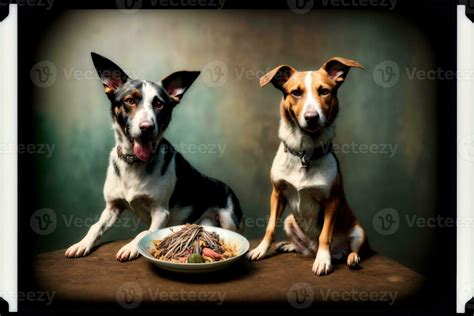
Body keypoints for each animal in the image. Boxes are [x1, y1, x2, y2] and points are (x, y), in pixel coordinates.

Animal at [65, 53, 243, 262]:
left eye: (159, 104)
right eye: (130, 101)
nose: (146, 127)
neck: (133, 162)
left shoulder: (160, 212)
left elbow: (145, 232)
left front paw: (131, 246)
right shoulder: (112, 207)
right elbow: (95, 227)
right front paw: (82, 244)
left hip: (229, 218)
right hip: (206, 221)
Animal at [250, 58, 368, 276]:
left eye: (324, 91)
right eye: (296, 92)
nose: (312, 117)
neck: (304, 153)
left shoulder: (332, 201)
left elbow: (325, 235)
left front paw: (323, 260)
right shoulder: (277, 194)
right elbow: (270, 227)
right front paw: (261, 249)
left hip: (358, 231)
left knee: (352, 249)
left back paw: (349, 257)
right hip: (290, 220)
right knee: (303, 248)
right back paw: (290, 246)